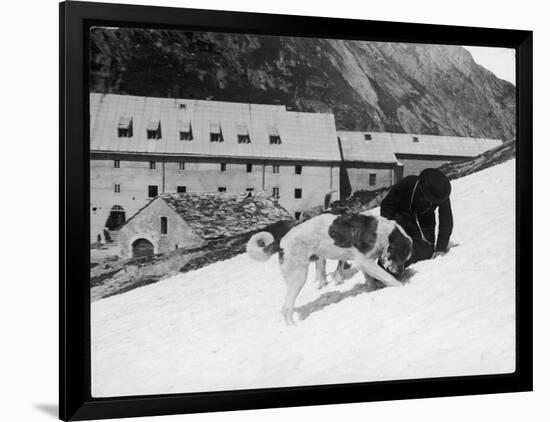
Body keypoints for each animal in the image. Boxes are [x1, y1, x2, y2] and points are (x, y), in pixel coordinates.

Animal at [247, 213, 414, 324]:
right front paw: (401, 286)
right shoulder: (364, 261)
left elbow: (370, 280)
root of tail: (281, 241)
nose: (401, 272)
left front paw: (373, 290)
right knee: (286, 307)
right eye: (401, 256)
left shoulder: (365, 263)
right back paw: (293, 327)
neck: (384, 233)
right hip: (298, 277)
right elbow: (387, 277)